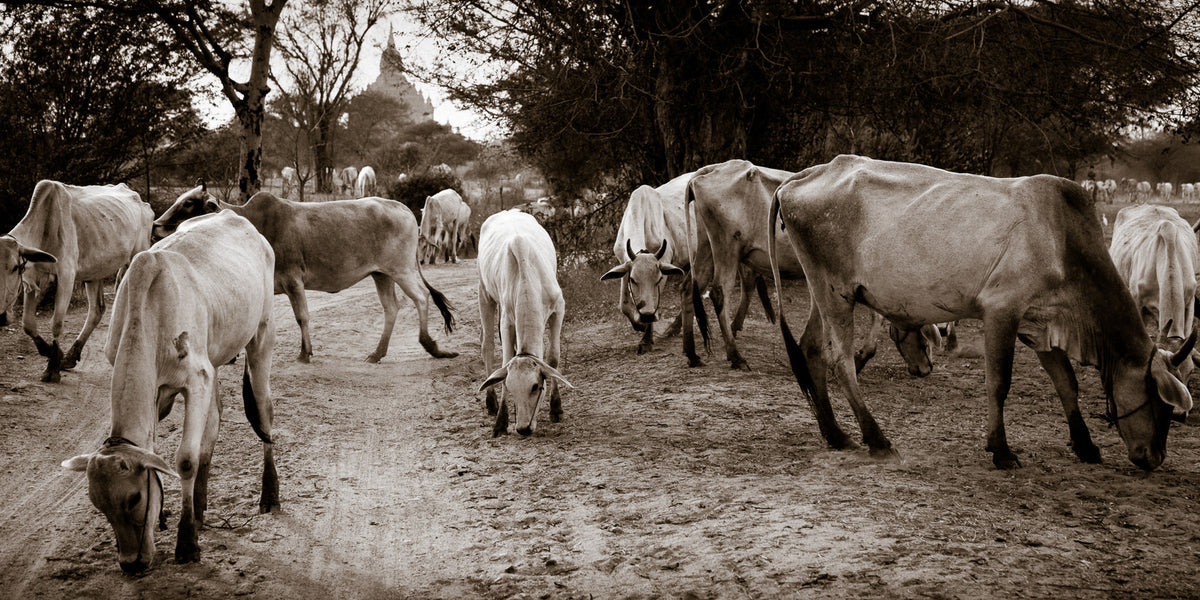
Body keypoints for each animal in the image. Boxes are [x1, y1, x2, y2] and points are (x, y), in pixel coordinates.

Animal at [2, 180, 152, 382]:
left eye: (15, 267)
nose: (1, 316)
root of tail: (141, 200)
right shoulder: (35, 280)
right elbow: (28, 324)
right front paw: (52, 352)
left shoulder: (67, 276)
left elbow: (57, 323)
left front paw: (52, 368)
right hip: (95, 272)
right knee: (97, 310)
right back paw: (71, 356)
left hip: (137, 256)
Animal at [62, 210, 278, 573]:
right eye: (99, 505)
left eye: (134, 497)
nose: (131, 564)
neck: (150, 308)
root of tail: (233, 215)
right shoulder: (167, 390)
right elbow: (160, 448)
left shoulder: (196, 380)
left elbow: (186, 460)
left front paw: (187, 542)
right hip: (215, 360)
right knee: (214, 424)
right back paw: (201, 506)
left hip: (261, 337)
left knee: (264, 416)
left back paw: (270, 495)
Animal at [152, 184, 457, 363]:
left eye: (189, 203)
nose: (156, 224)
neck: (252, 222)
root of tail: (402, 208)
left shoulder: (292, 281)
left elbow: (302, 317)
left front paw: (304, 353)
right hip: (381, 274)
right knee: (391, 308)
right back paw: (377, 353)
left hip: (401, 269)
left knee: (421, 297)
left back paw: (430, 345)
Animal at [477, 210, 572, 437]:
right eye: (511, 388)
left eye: (536, 386)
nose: (522, 428)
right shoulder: (507, 320)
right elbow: (505, 361)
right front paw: (501, 421)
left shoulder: (559, 309)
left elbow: (553, 358)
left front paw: (556, 408)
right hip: (484, 294)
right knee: (487, 347)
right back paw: (491, 402)